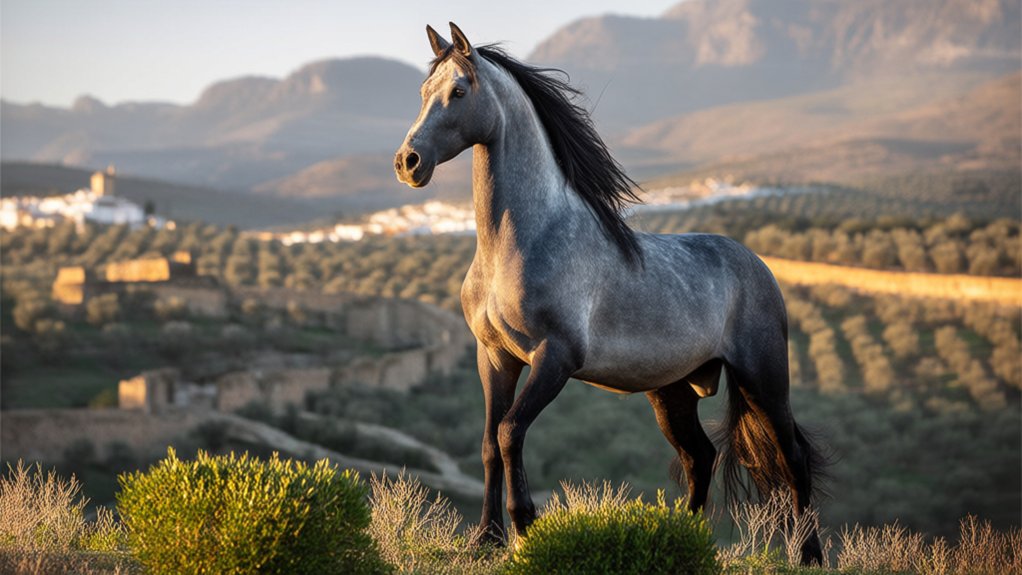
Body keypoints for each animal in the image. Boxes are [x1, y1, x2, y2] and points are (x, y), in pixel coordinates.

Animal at [394, 23, 827, 565]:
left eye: (459, 91)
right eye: (423, 91)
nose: (407, 162)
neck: (521, 241)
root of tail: (759, 267)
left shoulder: (554, 358)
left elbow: (511, 432)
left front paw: (525, 526)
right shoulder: (493, 356)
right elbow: (491, 443)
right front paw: (486, 539)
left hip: (762, 379)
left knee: (793, 457)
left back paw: (809, 556)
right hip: (673, 391)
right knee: (699, 456)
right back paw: (682, 537)